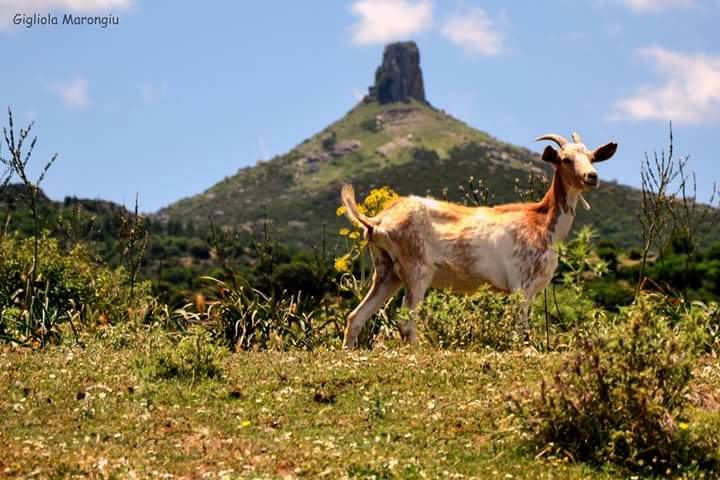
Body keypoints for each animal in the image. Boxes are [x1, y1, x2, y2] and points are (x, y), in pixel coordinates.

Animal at [340, 131, 616, 348]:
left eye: (591, 157)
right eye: (565, 159)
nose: (591, 176)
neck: (542, 223)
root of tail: (378, 221)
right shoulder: (522, 284)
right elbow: (521, 331)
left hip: (388, 272)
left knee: (355, 317)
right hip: (416, 269)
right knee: (405, 323)